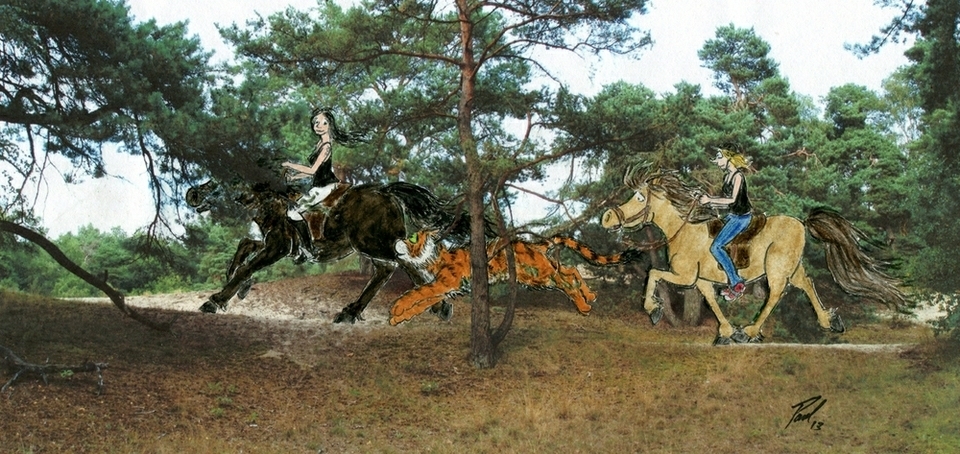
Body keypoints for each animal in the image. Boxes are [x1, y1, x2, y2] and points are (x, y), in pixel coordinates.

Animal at [600, 168, 908, 342]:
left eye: (640, 197)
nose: (606, 218)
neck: (684, 230)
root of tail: (801, 222)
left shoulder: (685, 276)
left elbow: (653, 273)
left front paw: (653, 309)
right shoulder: (701, 281)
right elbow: (712, 302)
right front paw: (726, 333)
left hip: (776, 269)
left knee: (775, 295)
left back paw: (751, 331)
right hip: (792, 267)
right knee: (807, 285)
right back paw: (828, 321)